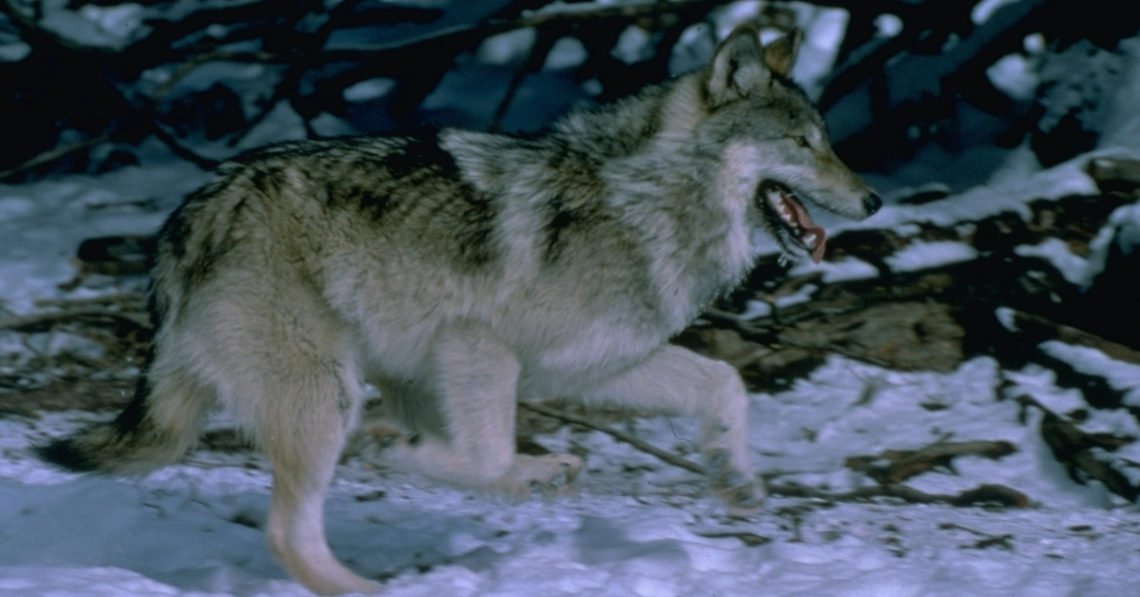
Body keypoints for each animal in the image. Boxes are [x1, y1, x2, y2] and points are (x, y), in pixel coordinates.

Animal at [39, 26, 880, 595]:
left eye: (828, 140)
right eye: (805, 144)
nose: (873, 198)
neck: (642, 200)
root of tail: (189, 217)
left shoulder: (594, 366)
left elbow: (724, 384)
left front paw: (735, 477)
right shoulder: (479, 343)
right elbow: (479, 455)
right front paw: (397, 456)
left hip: (379, 378)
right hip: (330, 393)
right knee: (290, 528)